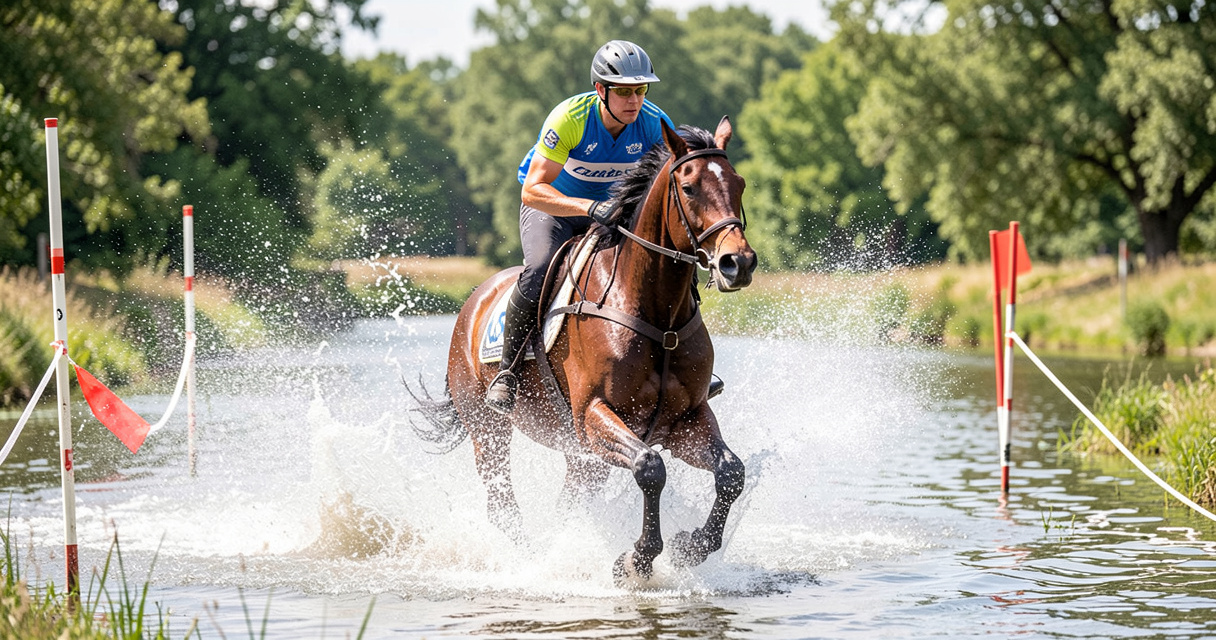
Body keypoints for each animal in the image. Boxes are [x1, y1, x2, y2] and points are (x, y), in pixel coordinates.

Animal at [409, 116, 757, 582]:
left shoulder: (686, 419)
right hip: (488, 426)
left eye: (738, 183)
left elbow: (731, 472)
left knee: (567, 503)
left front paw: (692, 546)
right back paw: (533, 561)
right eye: (688, 187)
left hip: (583, 459)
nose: (738, 263)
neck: (655, 313)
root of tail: (473, 300)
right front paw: (636, 558)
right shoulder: (594, 414)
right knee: (503, 506)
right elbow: (650, 468)